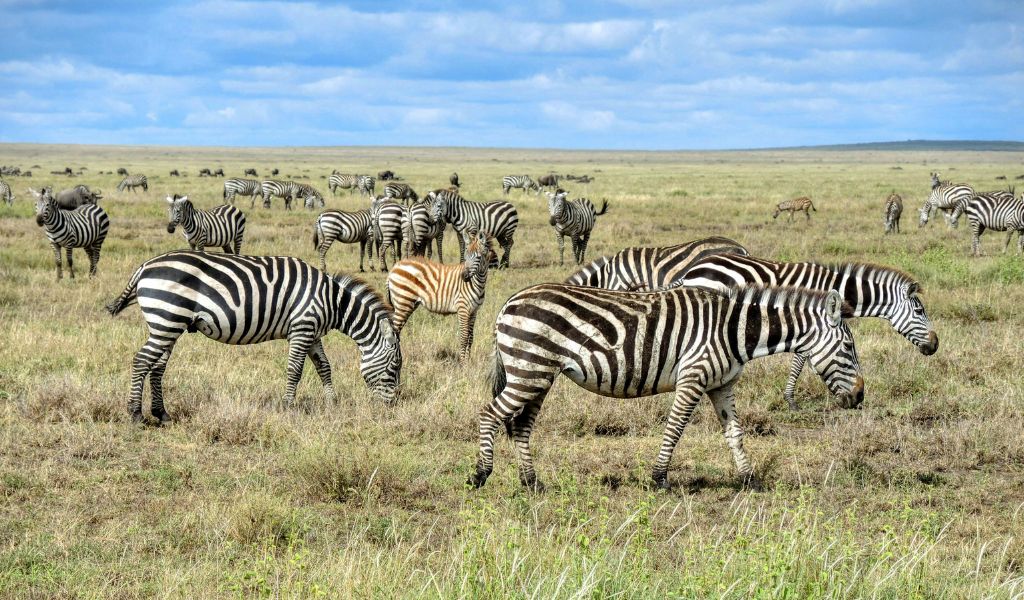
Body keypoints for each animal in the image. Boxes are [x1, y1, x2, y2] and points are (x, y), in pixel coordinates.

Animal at [105, 251, 403, 423]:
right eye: (394, 368)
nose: (391, 407)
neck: (332, 302)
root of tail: (145, 266)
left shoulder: (312, 332)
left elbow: (324, 367)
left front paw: (332, 402)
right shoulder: (302, 328)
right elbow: (295, 370)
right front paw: (288, 407)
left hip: (167, 323)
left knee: (156, 366)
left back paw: (162, 414)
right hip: (167, 318)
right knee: (141, 361)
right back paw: (135, 415)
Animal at [386, 232, 497, 362]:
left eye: (478, 257)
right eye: (465, 256)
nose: (464, 276)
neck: (478, 283)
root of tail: (395, 267)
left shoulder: (474, 311)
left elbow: (471, 337)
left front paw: (468, 361)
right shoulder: (463, 309)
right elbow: (464, 337)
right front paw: (463, 363)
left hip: (407, 303)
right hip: (403, 302)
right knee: (393, 330)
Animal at [469, 283, 863, 492]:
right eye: (848, 347)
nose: (860, 397)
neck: (734, 330)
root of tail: (508, 303)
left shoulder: (722, 385)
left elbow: (735, 433)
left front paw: (750, 479)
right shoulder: (693, 377)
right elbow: (674, 430)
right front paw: (659, 478)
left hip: (538, 375)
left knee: (520, 425)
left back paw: (531, 482)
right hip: (530, 370)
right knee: (488, 415)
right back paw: (481, 474)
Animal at [678, 254, 938, 409]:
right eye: (919, 311)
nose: (935, 345)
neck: (839, 289)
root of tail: (694, 268)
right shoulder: (809, 320)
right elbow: (800, 360)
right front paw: (791, 401)